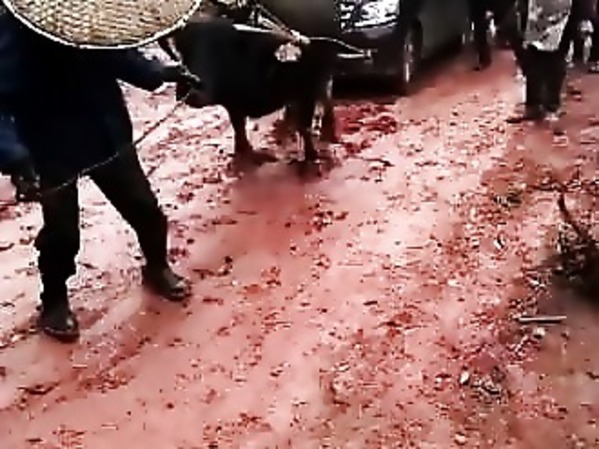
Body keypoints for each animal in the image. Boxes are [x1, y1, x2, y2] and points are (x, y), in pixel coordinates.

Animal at [159, 0, 342, 171]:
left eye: (220, 48)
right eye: (182, 50)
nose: (189, 91)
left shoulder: (306, 90)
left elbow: (305, 127)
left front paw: (311, 157)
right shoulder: (231, 102)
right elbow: (238, 126)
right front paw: (242, 150)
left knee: (326, 95)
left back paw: (327, 126)